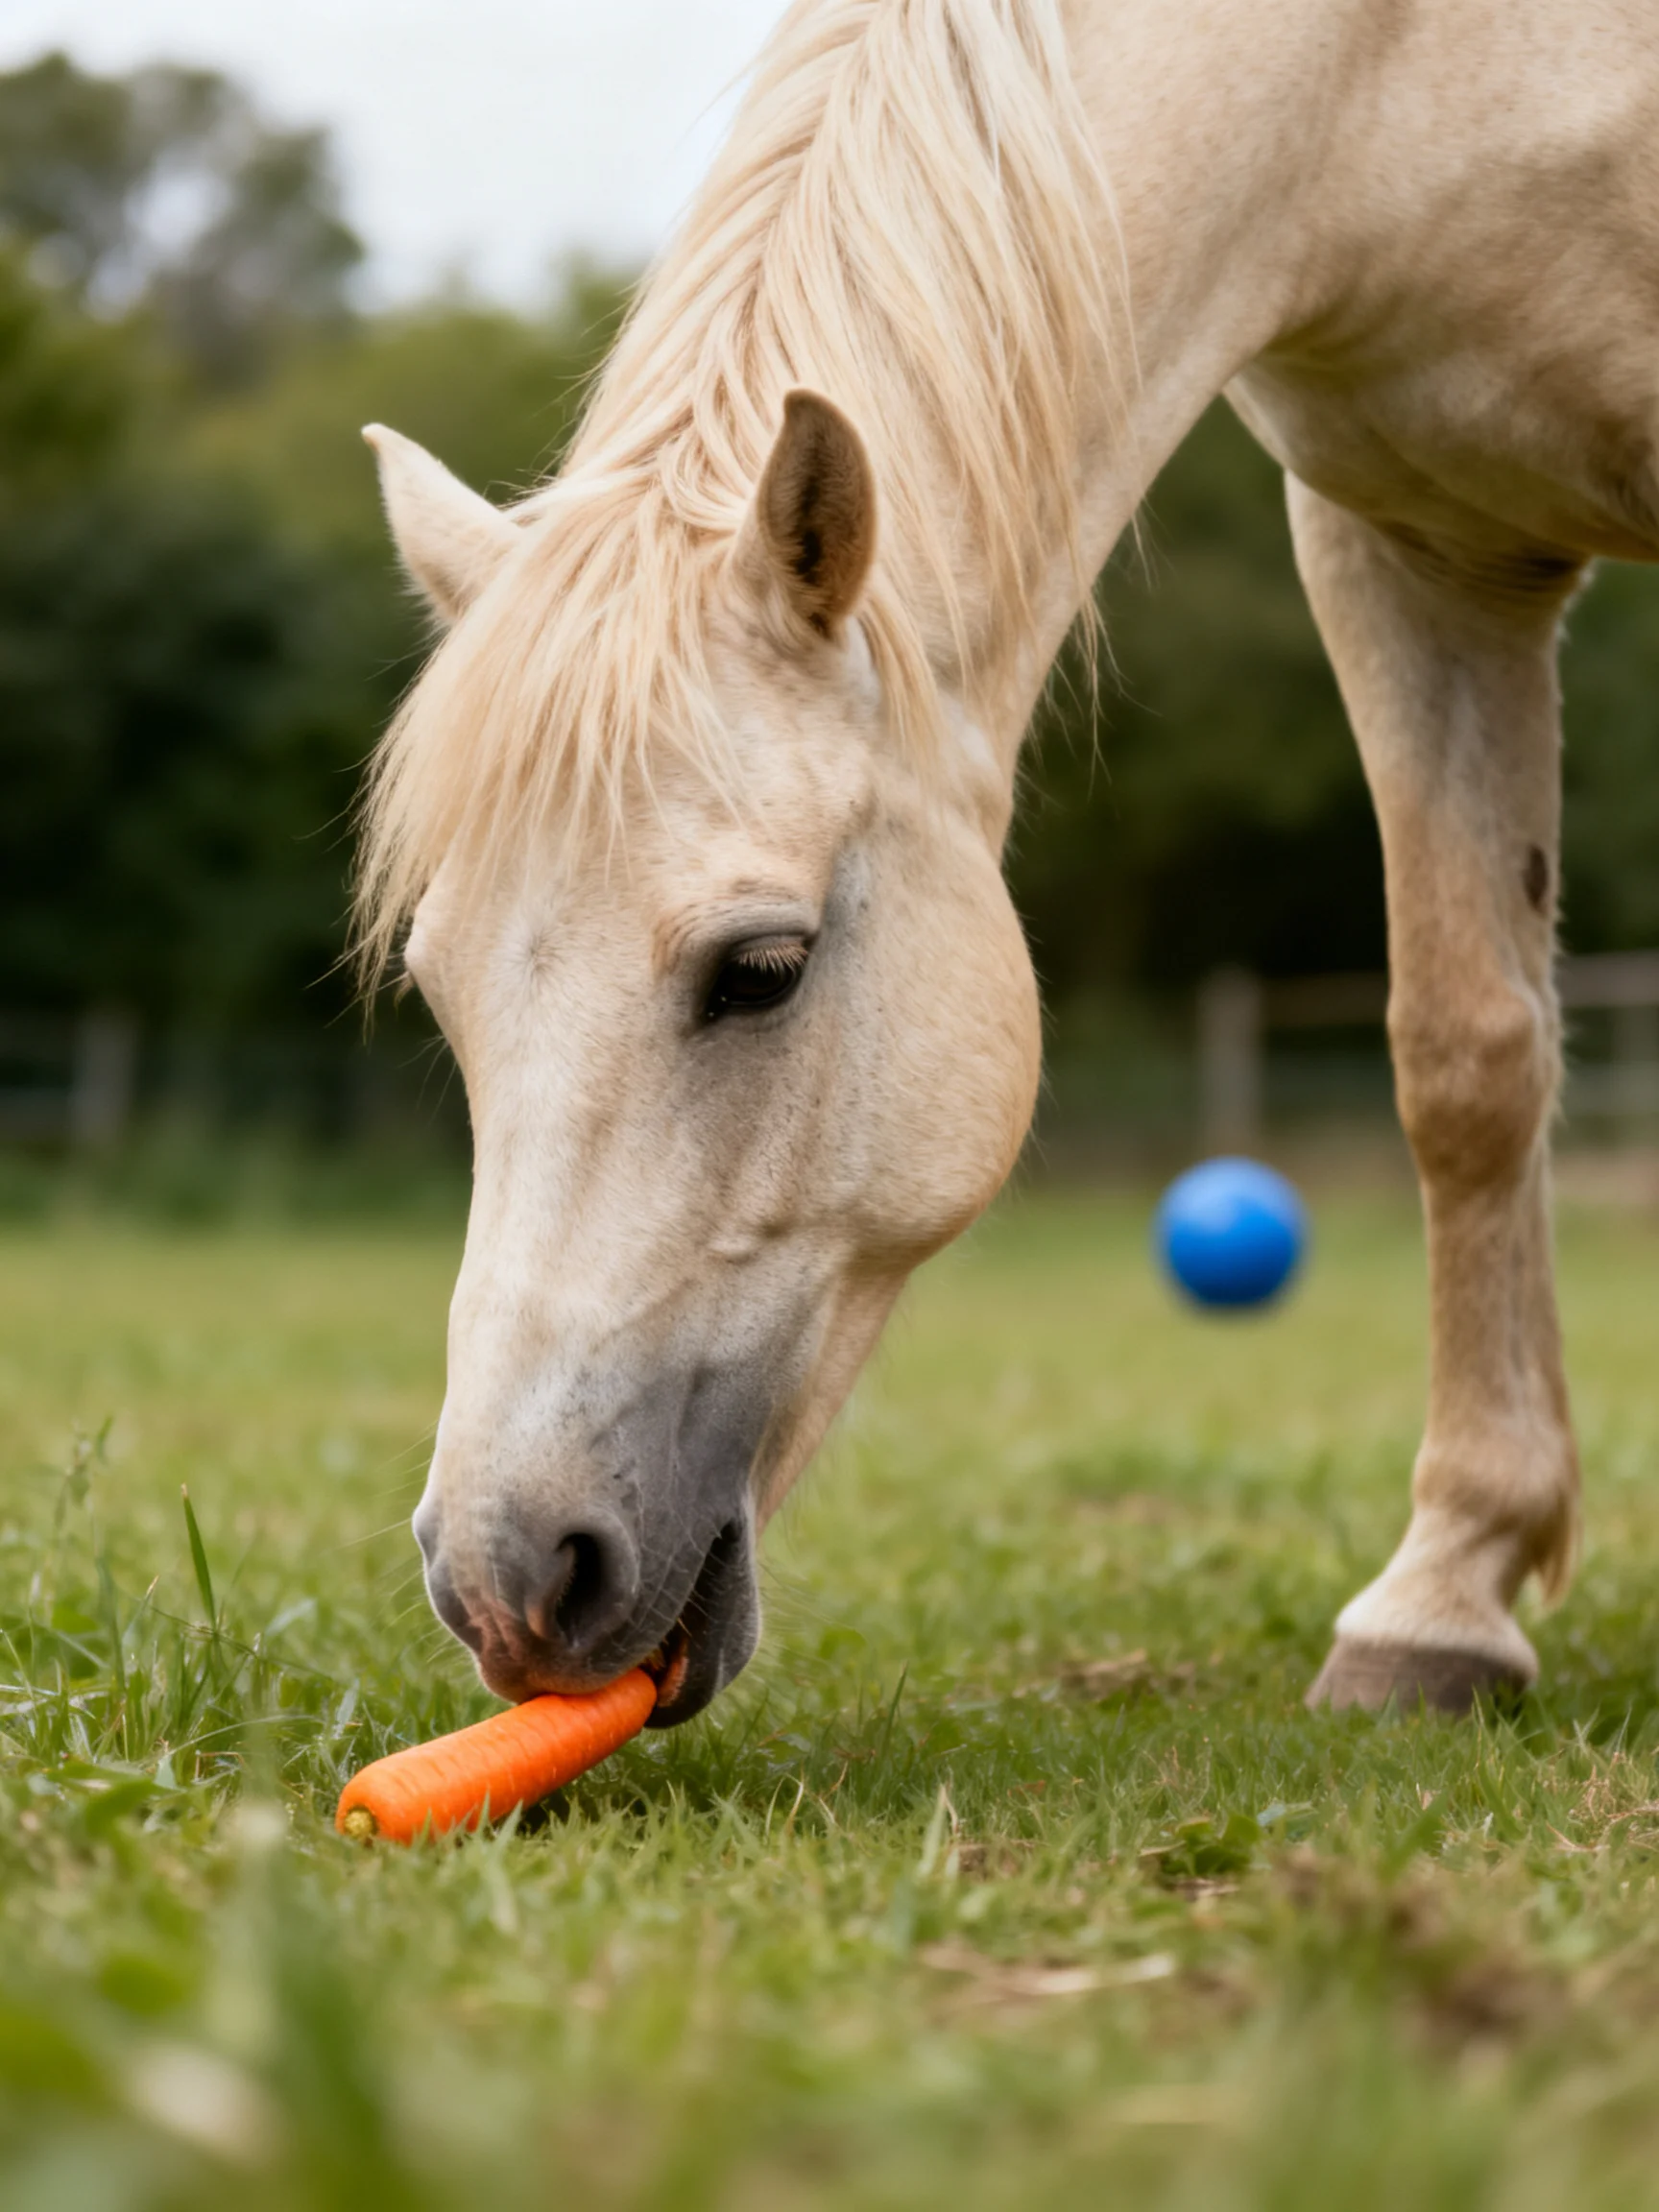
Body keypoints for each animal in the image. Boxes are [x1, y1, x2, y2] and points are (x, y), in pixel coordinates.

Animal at [357, 0, 1659, 1725]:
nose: (508, 1581)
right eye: (438, 994)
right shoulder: (1414, 547)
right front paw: (1441, 1603)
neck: (1387, 72)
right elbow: (1468, 1058)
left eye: (760, 969)